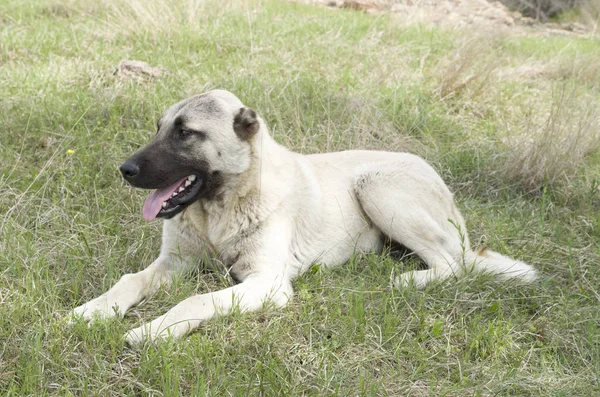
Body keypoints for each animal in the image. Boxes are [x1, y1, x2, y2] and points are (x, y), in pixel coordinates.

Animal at [71, 88, 540, 342]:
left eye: (186, 133)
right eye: (159, 128)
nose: (124, 170)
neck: (220, 208)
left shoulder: (266, 284)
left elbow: (195, 299)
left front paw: (152, 330)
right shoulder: (174, 263)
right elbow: (129, 281)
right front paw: (94, 310)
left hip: (377, 188)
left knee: (454, 264)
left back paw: (406, 280)